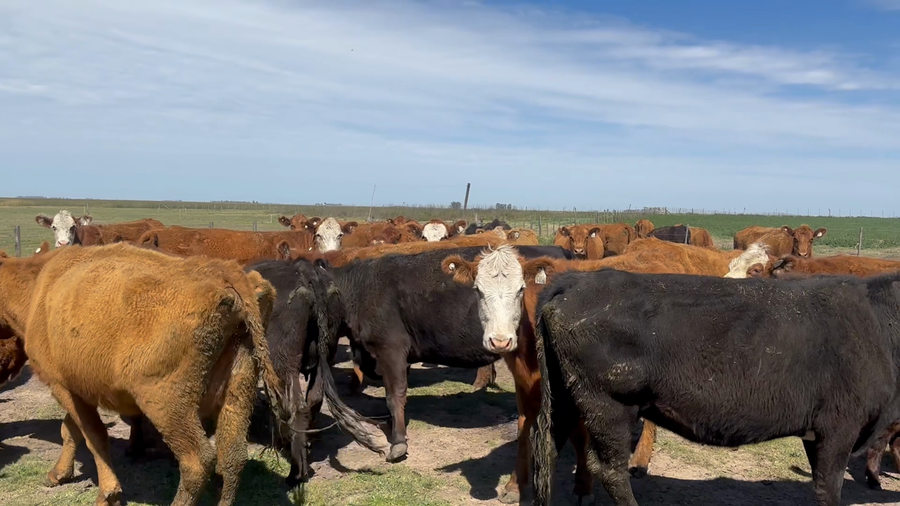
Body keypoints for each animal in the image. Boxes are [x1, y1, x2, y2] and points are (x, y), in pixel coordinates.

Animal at [0, 242, 287, 506]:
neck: (39, 284)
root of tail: (224, 272)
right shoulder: (78, 390)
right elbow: (71, 430)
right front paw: (58, 474)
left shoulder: (62, 385)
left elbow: (93, 436)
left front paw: (108, 494)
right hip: (238, 392)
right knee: (232, 458)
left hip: (167, 404)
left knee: (197, 461)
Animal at [246, 257, 384, 487]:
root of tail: (308, 273)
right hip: (323, 357)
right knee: (312, 400)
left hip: (284, 362)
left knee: (294, 406)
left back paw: (295, 472)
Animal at [531, 268, 900, 506]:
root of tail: (577, 280)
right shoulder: (839, 427)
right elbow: (829, 489)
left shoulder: (821, 432)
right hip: (609, 406)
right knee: (610, 471)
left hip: (565, 400)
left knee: (547, 452)